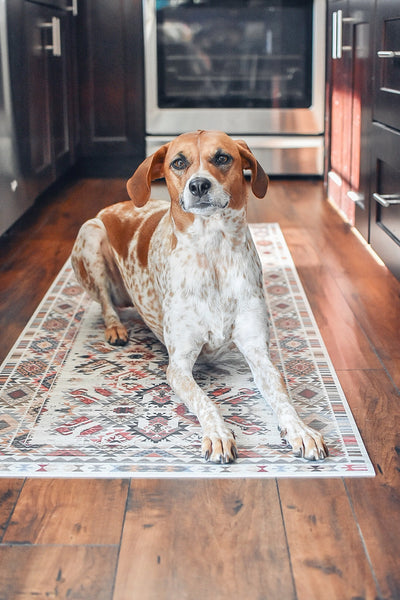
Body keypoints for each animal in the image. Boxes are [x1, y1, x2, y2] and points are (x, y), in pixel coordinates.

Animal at [72, 130, 328, 464]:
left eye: (222, 157)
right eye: (179, 162)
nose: (198, 185)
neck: (213, 251)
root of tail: (114, 206)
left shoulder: (258, 352)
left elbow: (281, 396)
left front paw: (300, 429)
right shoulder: (179, 365)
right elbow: (205, 400)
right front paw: (218, 434)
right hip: (89, 235)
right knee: (106, 304)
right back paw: (115, 328)